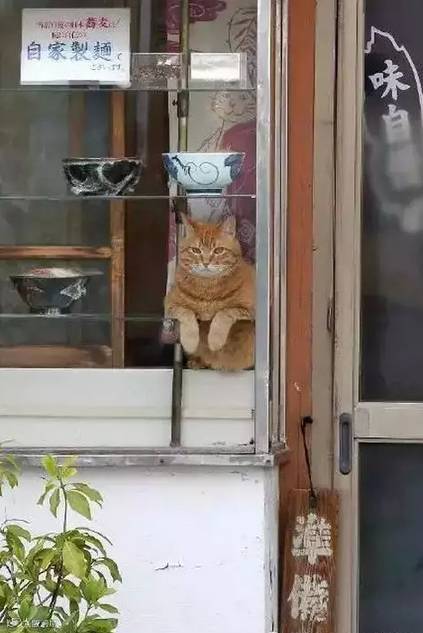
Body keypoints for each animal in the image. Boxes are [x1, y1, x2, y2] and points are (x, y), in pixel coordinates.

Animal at [165, 214, 255, 371]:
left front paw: (215, 341)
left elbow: (223, 313)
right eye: (196, 250)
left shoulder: (249, 310)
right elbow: (187, 313)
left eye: (218, 251)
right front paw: (190, 341)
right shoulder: (170, 304)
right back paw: (196, 362)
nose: (206, 263)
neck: (207, 288)